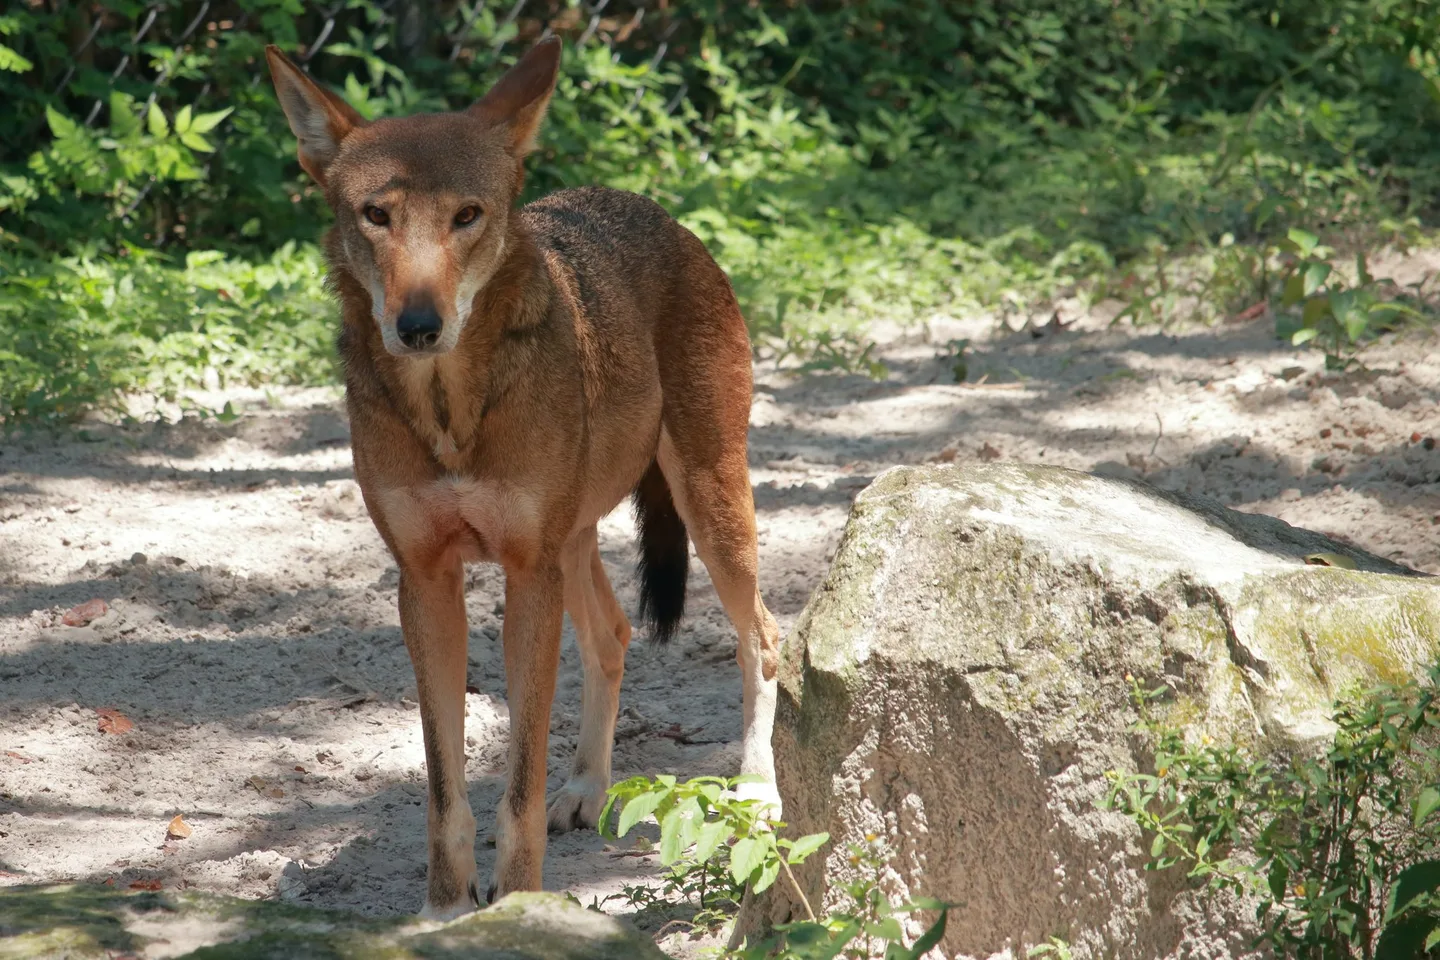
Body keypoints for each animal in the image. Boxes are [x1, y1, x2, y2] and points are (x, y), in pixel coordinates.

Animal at [265, 36, 782, 918]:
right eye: (377, 215)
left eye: (467, 216)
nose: (418, 325)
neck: (450, 413)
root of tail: (653, 211)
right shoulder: (425, 581)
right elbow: (445, 790)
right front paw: (445, 911)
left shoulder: (525, 575)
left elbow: (517, 788)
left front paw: (516, 903)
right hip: (575, 543)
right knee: (613, 636)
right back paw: (588, 789)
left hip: (707, 507)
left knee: (765, 641)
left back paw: (758, 791)